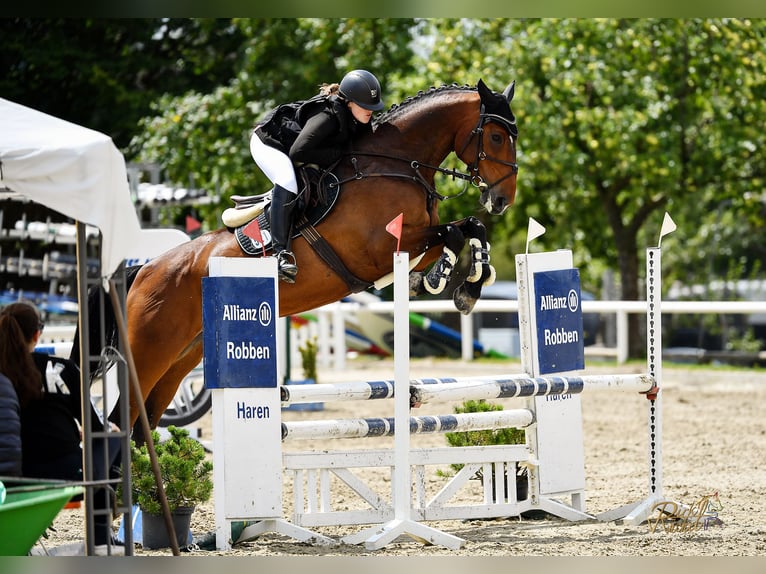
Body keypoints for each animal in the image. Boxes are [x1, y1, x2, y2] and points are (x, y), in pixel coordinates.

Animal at [86, 79, 519, 436]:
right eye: (497, 136)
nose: (502, 200)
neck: (394, 164)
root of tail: (142, 271)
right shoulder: (382, 249)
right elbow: (451, 232)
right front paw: (443, 277)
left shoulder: (409, 245)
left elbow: (469, 229)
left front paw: (465, 285)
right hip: (149, 352)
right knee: (124, 419)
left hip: (182, 356)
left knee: (142, 421)